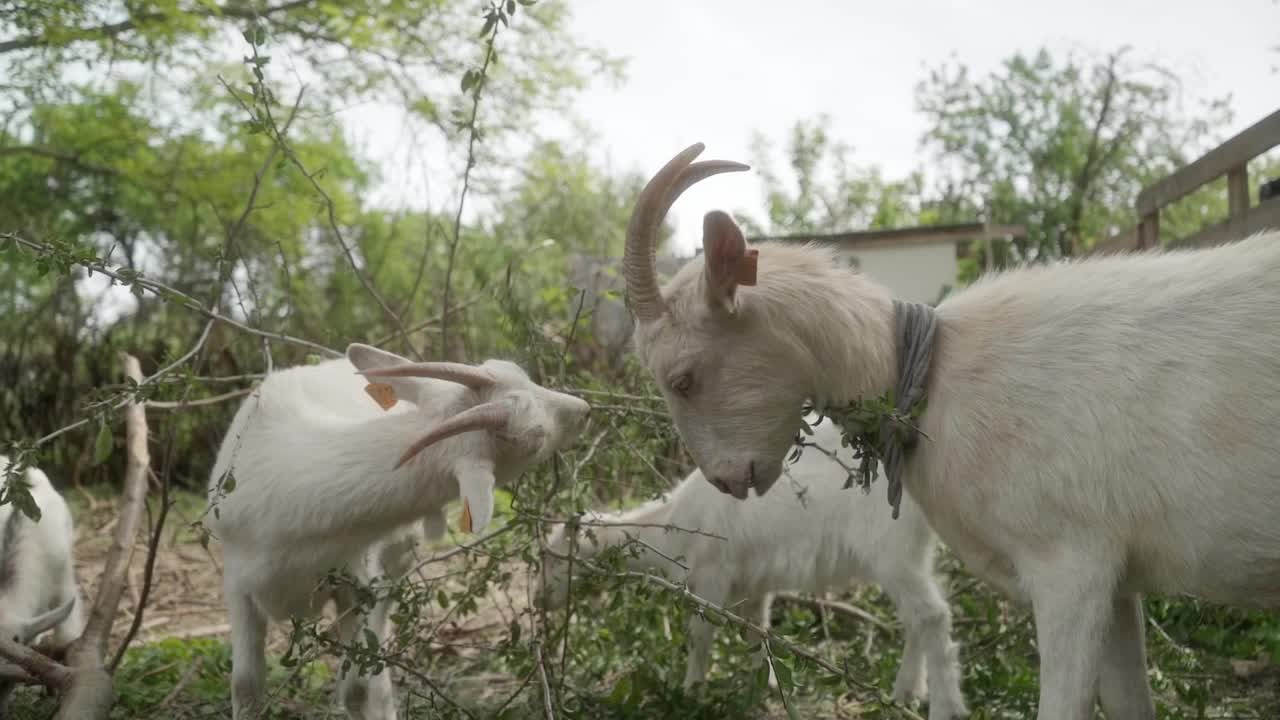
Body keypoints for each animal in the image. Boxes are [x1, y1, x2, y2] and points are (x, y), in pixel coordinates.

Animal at [208, 340, 588, 717]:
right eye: (535, 436)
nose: (583, 409)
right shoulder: (237, 583)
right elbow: (246, 686)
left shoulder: (359, 586)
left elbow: (358, 689)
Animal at [535, 415, 962, 717]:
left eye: (552, 556)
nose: (539, 601)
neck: (671, 526)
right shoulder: (755, 583)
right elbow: (758, 632)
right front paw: (764, 686)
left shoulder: (711, 574)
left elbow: (700, 636)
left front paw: (692, 690)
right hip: (910, 554)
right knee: (917, 619)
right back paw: (907, 692)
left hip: (891, 551)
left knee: (933, 617)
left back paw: (943, 706)